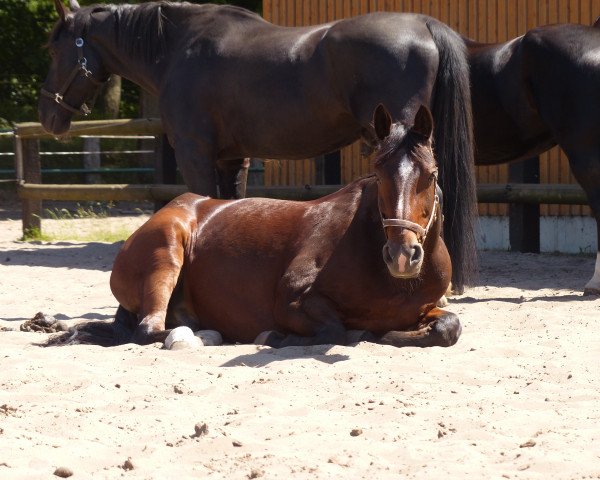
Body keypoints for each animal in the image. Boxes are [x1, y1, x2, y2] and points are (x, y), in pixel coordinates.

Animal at [38, 0, 478, 290]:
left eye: (56, 48)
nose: (48, 115)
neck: (178, 50)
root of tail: (424, 25)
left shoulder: (195, 153)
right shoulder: (234, 158)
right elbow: (230, 207)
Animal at [55, 107, 460, 348]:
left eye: (431, 174)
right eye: (378, 171)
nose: (402, 256)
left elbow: (449, 327)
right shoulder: (292, 298)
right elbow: (338, 331)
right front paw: (277, 337)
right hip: (166, 255)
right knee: (149, 329)